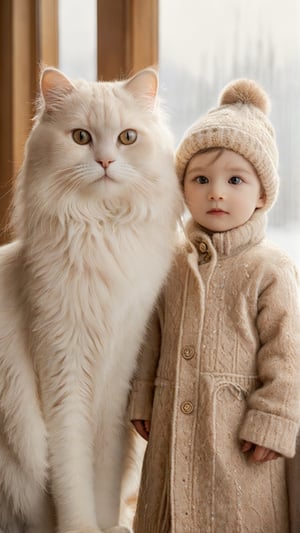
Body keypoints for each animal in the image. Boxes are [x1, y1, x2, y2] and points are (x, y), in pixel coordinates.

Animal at [0, 67, 180, 532]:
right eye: (81, 137)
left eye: (127, 138)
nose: (105, 162)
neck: (101, 230)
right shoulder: (64, 370)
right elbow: (71, 476)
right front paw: (84, 527)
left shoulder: (118, 373)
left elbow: (104, 477)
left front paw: (107, 523)